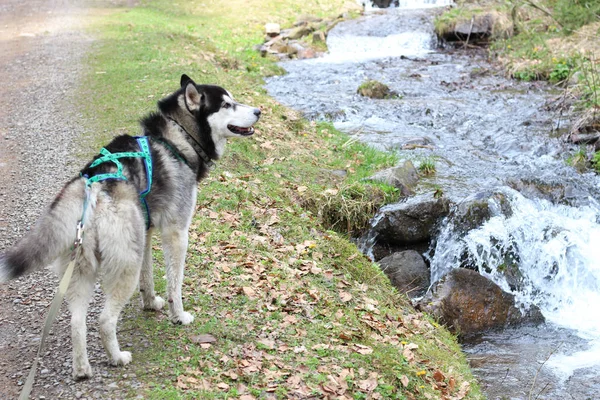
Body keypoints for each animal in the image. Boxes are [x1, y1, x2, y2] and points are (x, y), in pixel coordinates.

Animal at [1, 74, 262, 378]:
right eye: (227, 104)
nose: (259, 111)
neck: (178, 138)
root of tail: (92, 187)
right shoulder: (176, 233)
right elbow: (175, 284)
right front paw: (178, 316)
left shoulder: (146, 232)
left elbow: (148, 277)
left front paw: (151, 303)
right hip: (125, 265)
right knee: (104, 320)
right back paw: (117, 357)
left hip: (84, 269)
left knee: (77, 322)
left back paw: (82, 369)